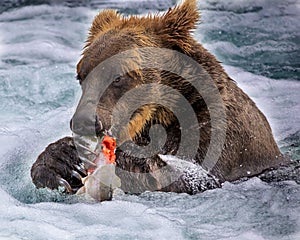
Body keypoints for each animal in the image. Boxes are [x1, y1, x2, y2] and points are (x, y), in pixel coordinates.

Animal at [29, 0, 288, 197]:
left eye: (118, 77)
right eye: (82, 75)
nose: (85, 121)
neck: (166, 114)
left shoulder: (222, 136)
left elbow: (185, 177)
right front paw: (61, 161)